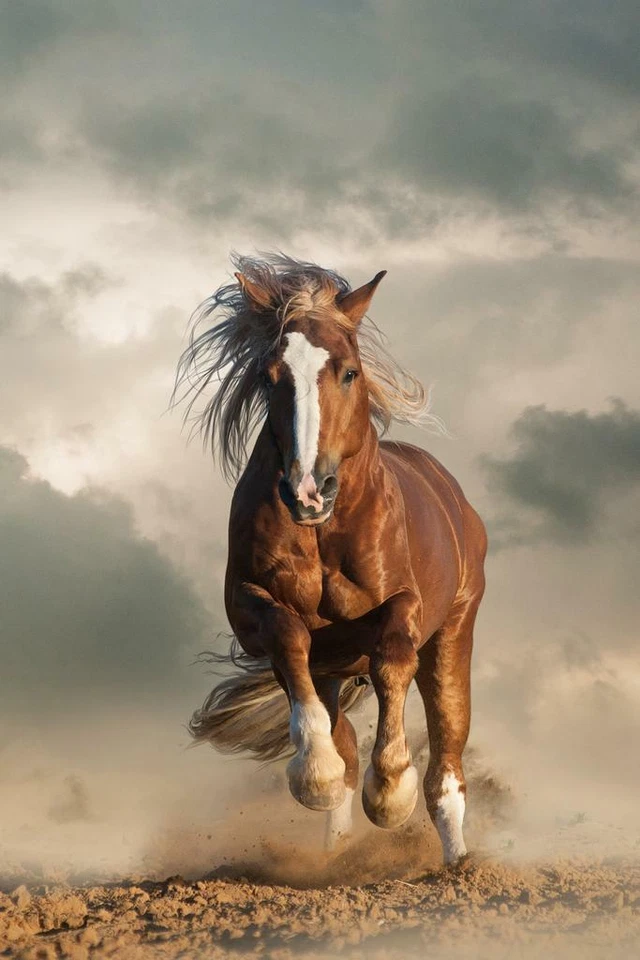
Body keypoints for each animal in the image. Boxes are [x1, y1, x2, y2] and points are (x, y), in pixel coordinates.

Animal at [174, 254, 487, 865]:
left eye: (348, 372)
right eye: (269, 376)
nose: (307, 491)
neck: (324, 533)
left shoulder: (405, 604)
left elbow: (393, 656)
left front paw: (389, 792)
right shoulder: (251, 608)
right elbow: (288, 637)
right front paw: (314, 775)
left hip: (454, 633)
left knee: (447, 760)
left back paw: (456, 863)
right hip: (334, 670)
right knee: (342, 739)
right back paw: (336, 850)